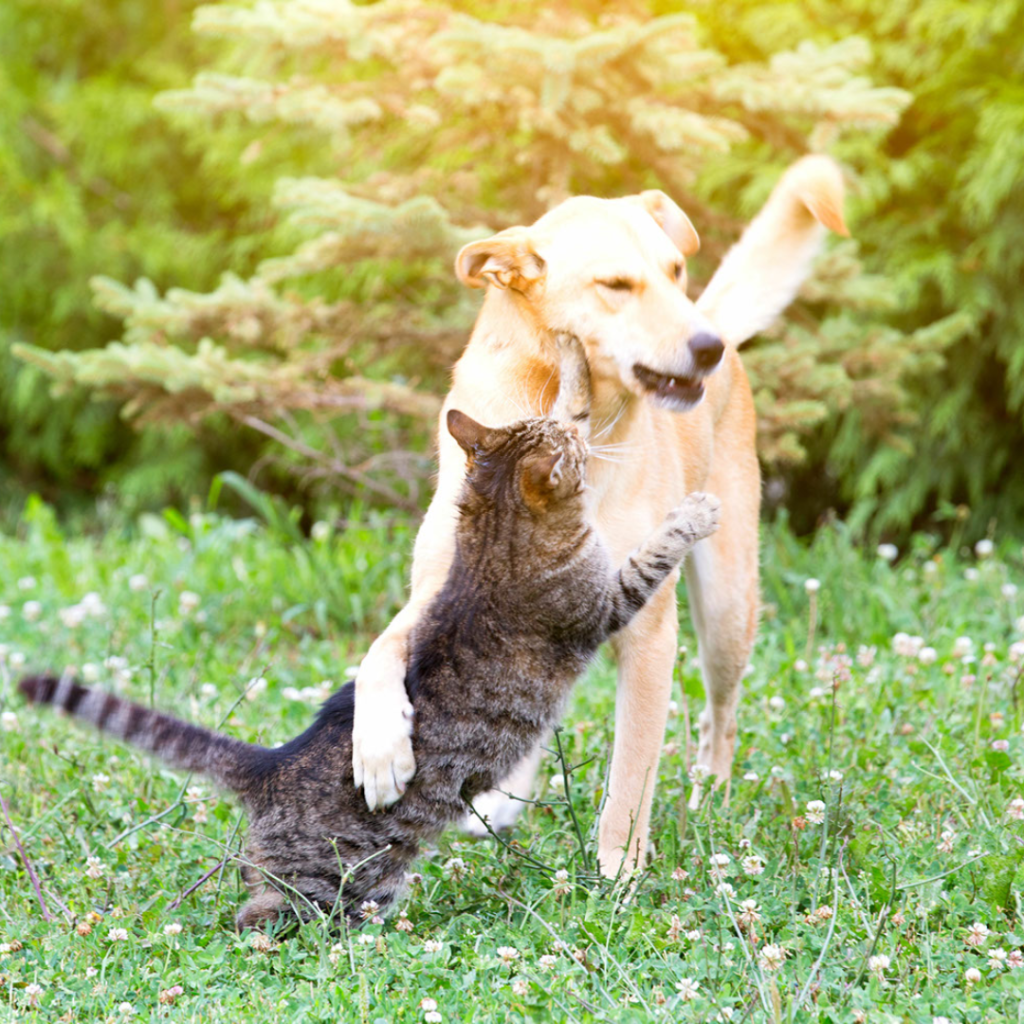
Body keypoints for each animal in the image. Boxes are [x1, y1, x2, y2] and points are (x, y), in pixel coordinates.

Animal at [18, 335, 720, 929]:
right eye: (571, 450)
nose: (581, 439)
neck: (495, 529)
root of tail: (272, 763)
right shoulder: (603, 602)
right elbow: (652, 554)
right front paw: (693, 512)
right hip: (326, 880)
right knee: (260, 916)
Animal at [352, 155, 847, 876]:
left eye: (675, 270)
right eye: (616, 284)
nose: (709, 346)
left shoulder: (648, 631)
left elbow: (632, 772)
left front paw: (618, 870)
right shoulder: (445, 589)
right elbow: (378, 650)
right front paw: (379, 749)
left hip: (727, 610)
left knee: (721, 717)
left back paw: (710, 796)